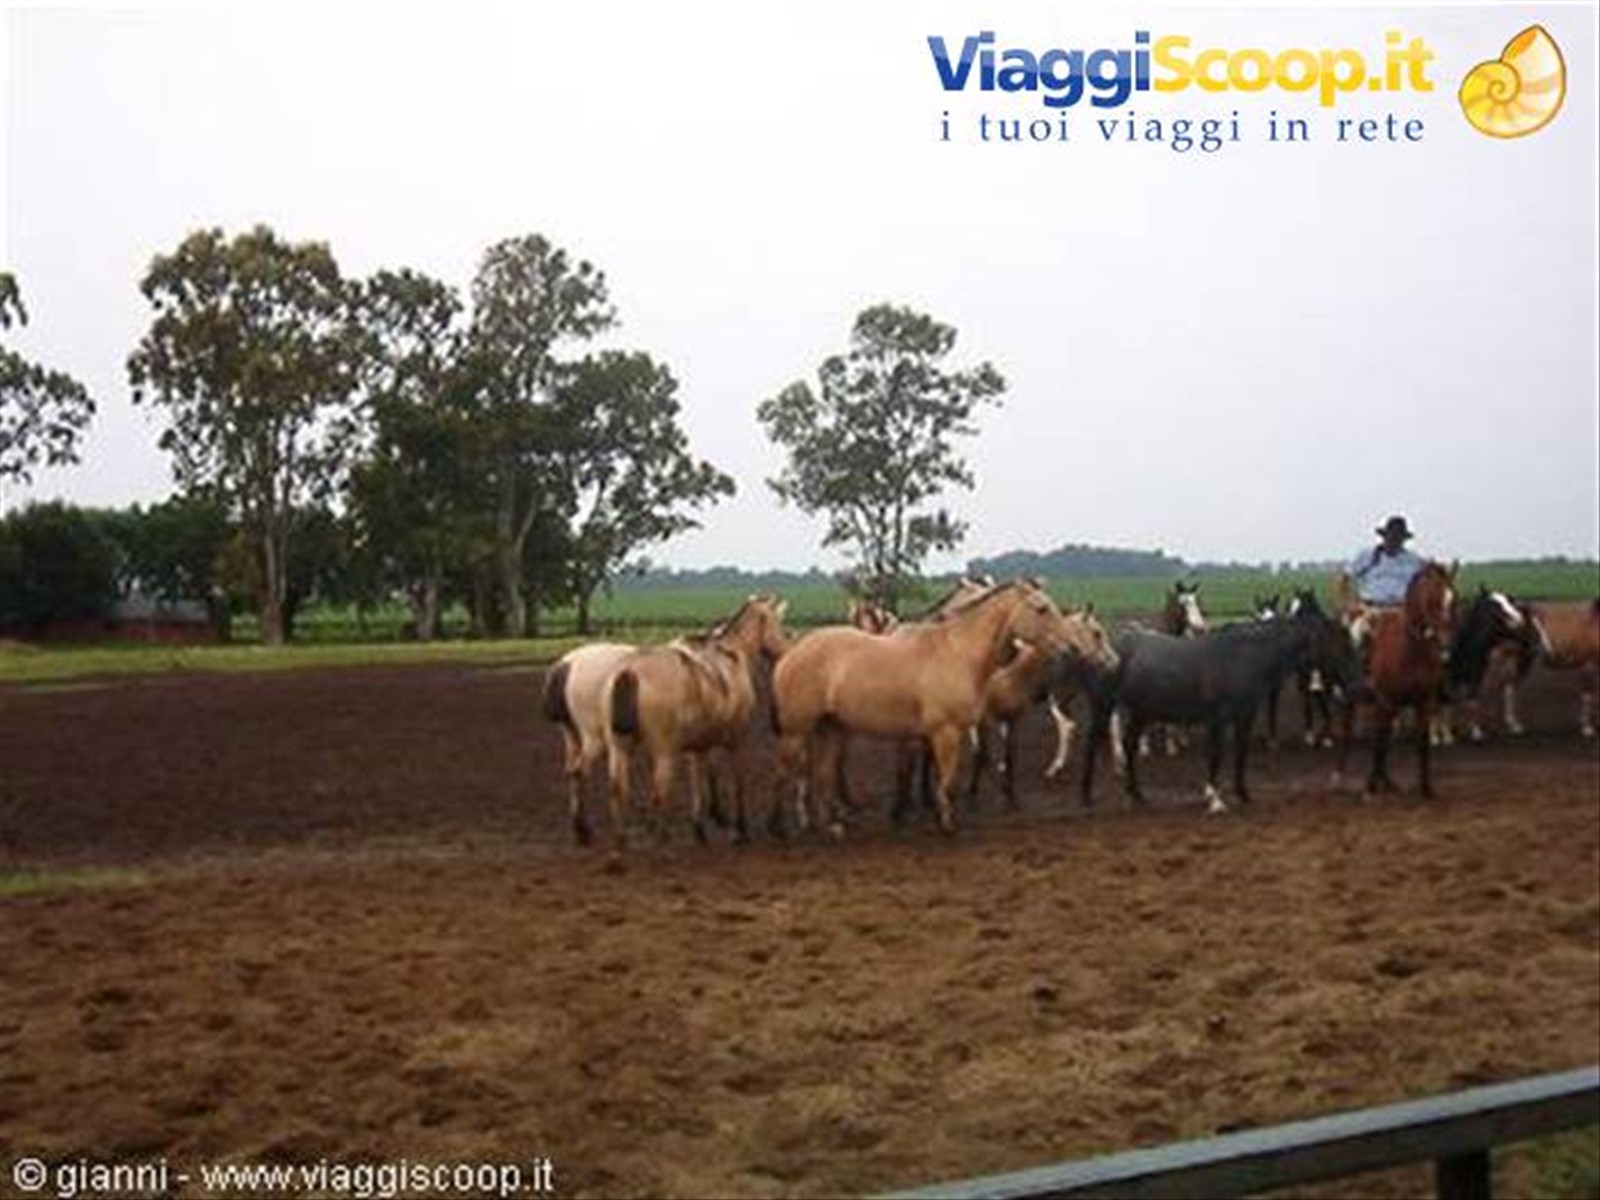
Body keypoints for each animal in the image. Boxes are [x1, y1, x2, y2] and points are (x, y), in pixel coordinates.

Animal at [601, 594, 790, 848]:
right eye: (777, 621)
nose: (786, 650)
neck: (732, 653)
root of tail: (630, 671)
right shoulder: (736, 738)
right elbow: (737, 781)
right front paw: (739, 828)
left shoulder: (698, 745)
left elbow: (698, 782)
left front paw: (700, 827)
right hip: (663, 749)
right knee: (659, 789)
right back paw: (662, 840)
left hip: (619, 746)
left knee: (617, 788)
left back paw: (620, 842)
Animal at [772, 579, 1118, 838]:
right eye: (1041, 608)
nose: (1072, 648)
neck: (958, 653)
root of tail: (791, 653)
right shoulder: (946, 733)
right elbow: (948, 781)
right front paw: (947, 824)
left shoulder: (956, 731)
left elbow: (947, 775)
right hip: (796, 732)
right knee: (787, 775)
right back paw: (783, 829)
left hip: (829, 729)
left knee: (821, 776)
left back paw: (831, 826)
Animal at [1080, 605, 1358, 813]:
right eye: (1338, 644)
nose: (1355, 683)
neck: (1242, 658)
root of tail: (1109, 646)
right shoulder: (1216, 719)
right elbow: (1216, 754)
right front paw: (1215, 800)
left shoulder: (1245, 716)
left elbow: (1240, 753)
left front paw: (1243, 794)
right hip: (1104, 704)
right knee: (1092, 742)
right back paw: (1087, 796)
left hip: (1141, 710)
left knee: (1129, 745)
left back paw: (1137, 795)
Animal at [1340, 561, 1456, 797]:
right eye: (1432, 599)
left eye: (1453, 599)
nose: (1446, 641)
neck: (1409, 650)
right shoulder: (1384, 700)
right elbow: (1379, 743)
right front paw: (1370, 787)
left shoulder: (1423, 701)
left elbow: (1421, 743)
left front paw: (1426, 788)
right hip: (1354, 699)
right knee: (1350, 733)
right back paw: (1342, 777)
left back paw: (1388, 782)